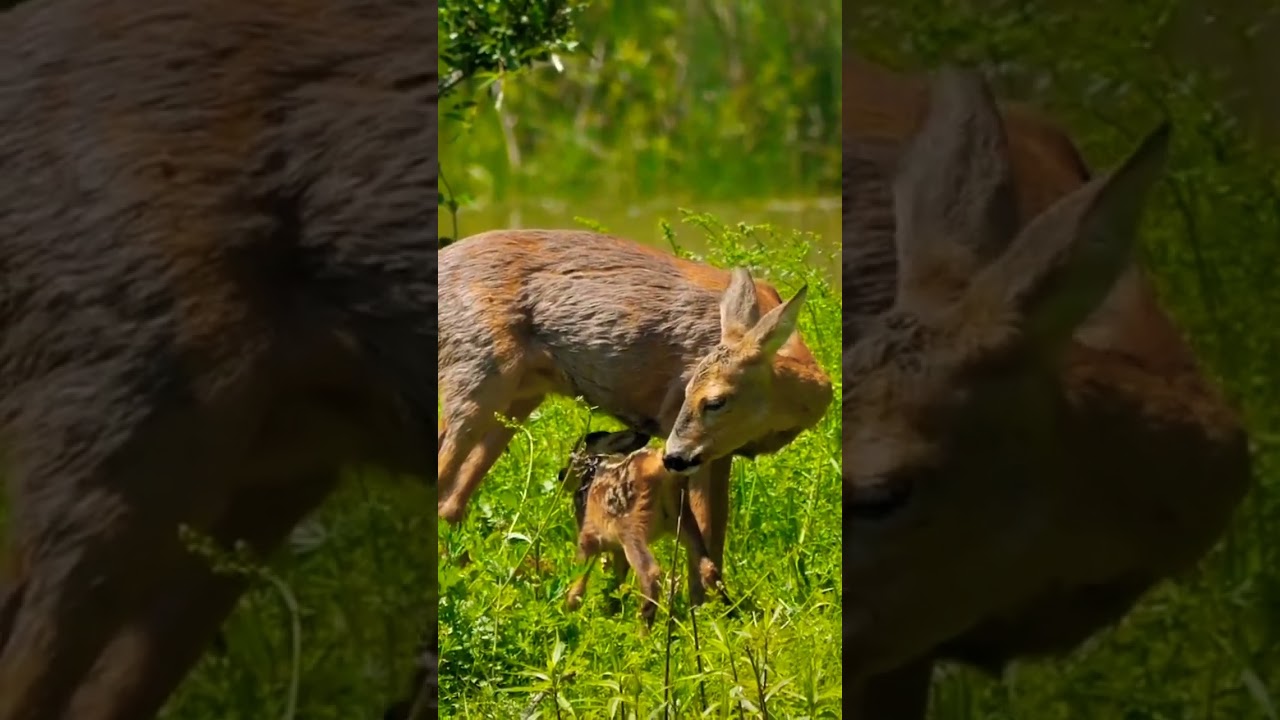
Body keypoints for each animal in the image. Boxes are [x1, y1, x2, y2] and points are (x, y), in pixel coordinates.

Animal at [438, 229, 833, 603]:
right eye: (689, 390)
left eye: (716, 402)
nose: (671, 456)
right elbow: (704, 537)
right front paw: (705, 614)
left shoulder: (719, 454)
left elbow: (712, 537)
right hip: (477, 377)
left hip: (519, 398)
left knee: (452, 502)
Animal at [556, 429, 731, 626]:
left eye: (574, 454)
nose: (561, 475)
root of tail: (659, 467)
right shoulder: (617, 549)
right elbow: (618, 582)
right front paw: (613, 611)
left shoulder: (588, 538)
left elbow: (578, 581)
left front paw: (567, 613)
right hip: (682, 516)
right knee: (708, 566)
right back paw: (729, 612)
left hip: (631, 525)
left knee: (650, 574)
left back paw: (644, 628)